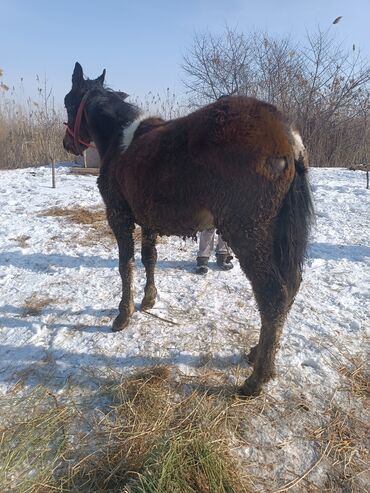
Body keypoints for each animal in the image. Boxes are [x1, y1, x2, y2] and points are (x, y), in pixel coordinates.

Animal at [62, 62, 312, 396]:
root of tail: (288, 136)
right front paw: (149, 299)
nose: (68, 143)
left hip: (248, 234)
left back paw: (257, 378)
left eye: (68, 102)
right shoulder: (149, 220)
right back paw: (258, 354)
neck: (121, 140)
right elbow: (149, 259)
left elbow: (125, 265)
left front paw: (123, 314)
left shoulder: (119, 216)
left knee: (272, 295)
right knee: (289, 288)